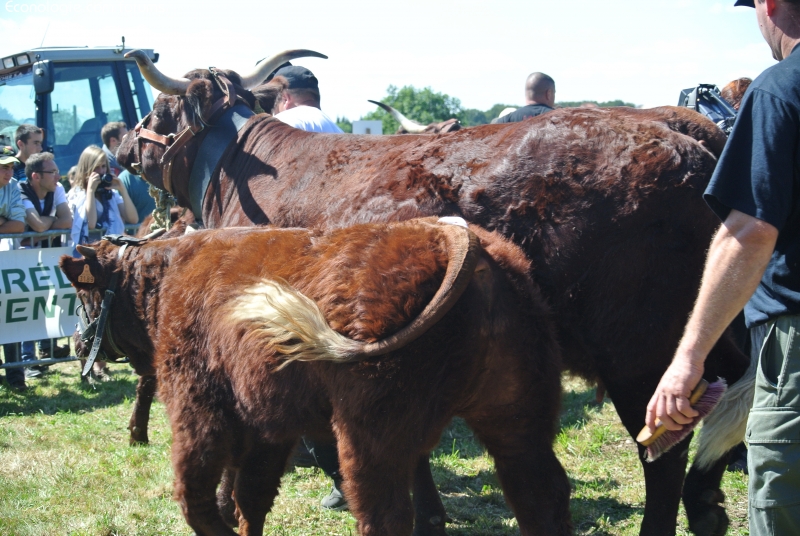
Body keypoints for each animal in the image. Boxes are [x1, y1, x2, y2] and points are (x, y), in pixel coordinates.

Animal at [59, 219, 572, 536]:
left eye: (84, 295)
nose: (81, 346)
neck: (171, 274)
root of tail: (458, 240)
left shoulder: (198, 408)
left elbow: (198, 500)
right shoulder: (267, 426)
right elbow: (249, 498)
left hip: (371, 437)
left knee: (385, 516)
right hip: (518, 416)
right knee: (541, 494)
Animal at [119, 50, 752, 536]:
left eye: (155, 110)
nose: (123, 145)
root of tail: (685, 143)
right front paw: (430, 516)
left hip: (639, 354)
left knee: (664, 454)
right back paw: (708, 507)